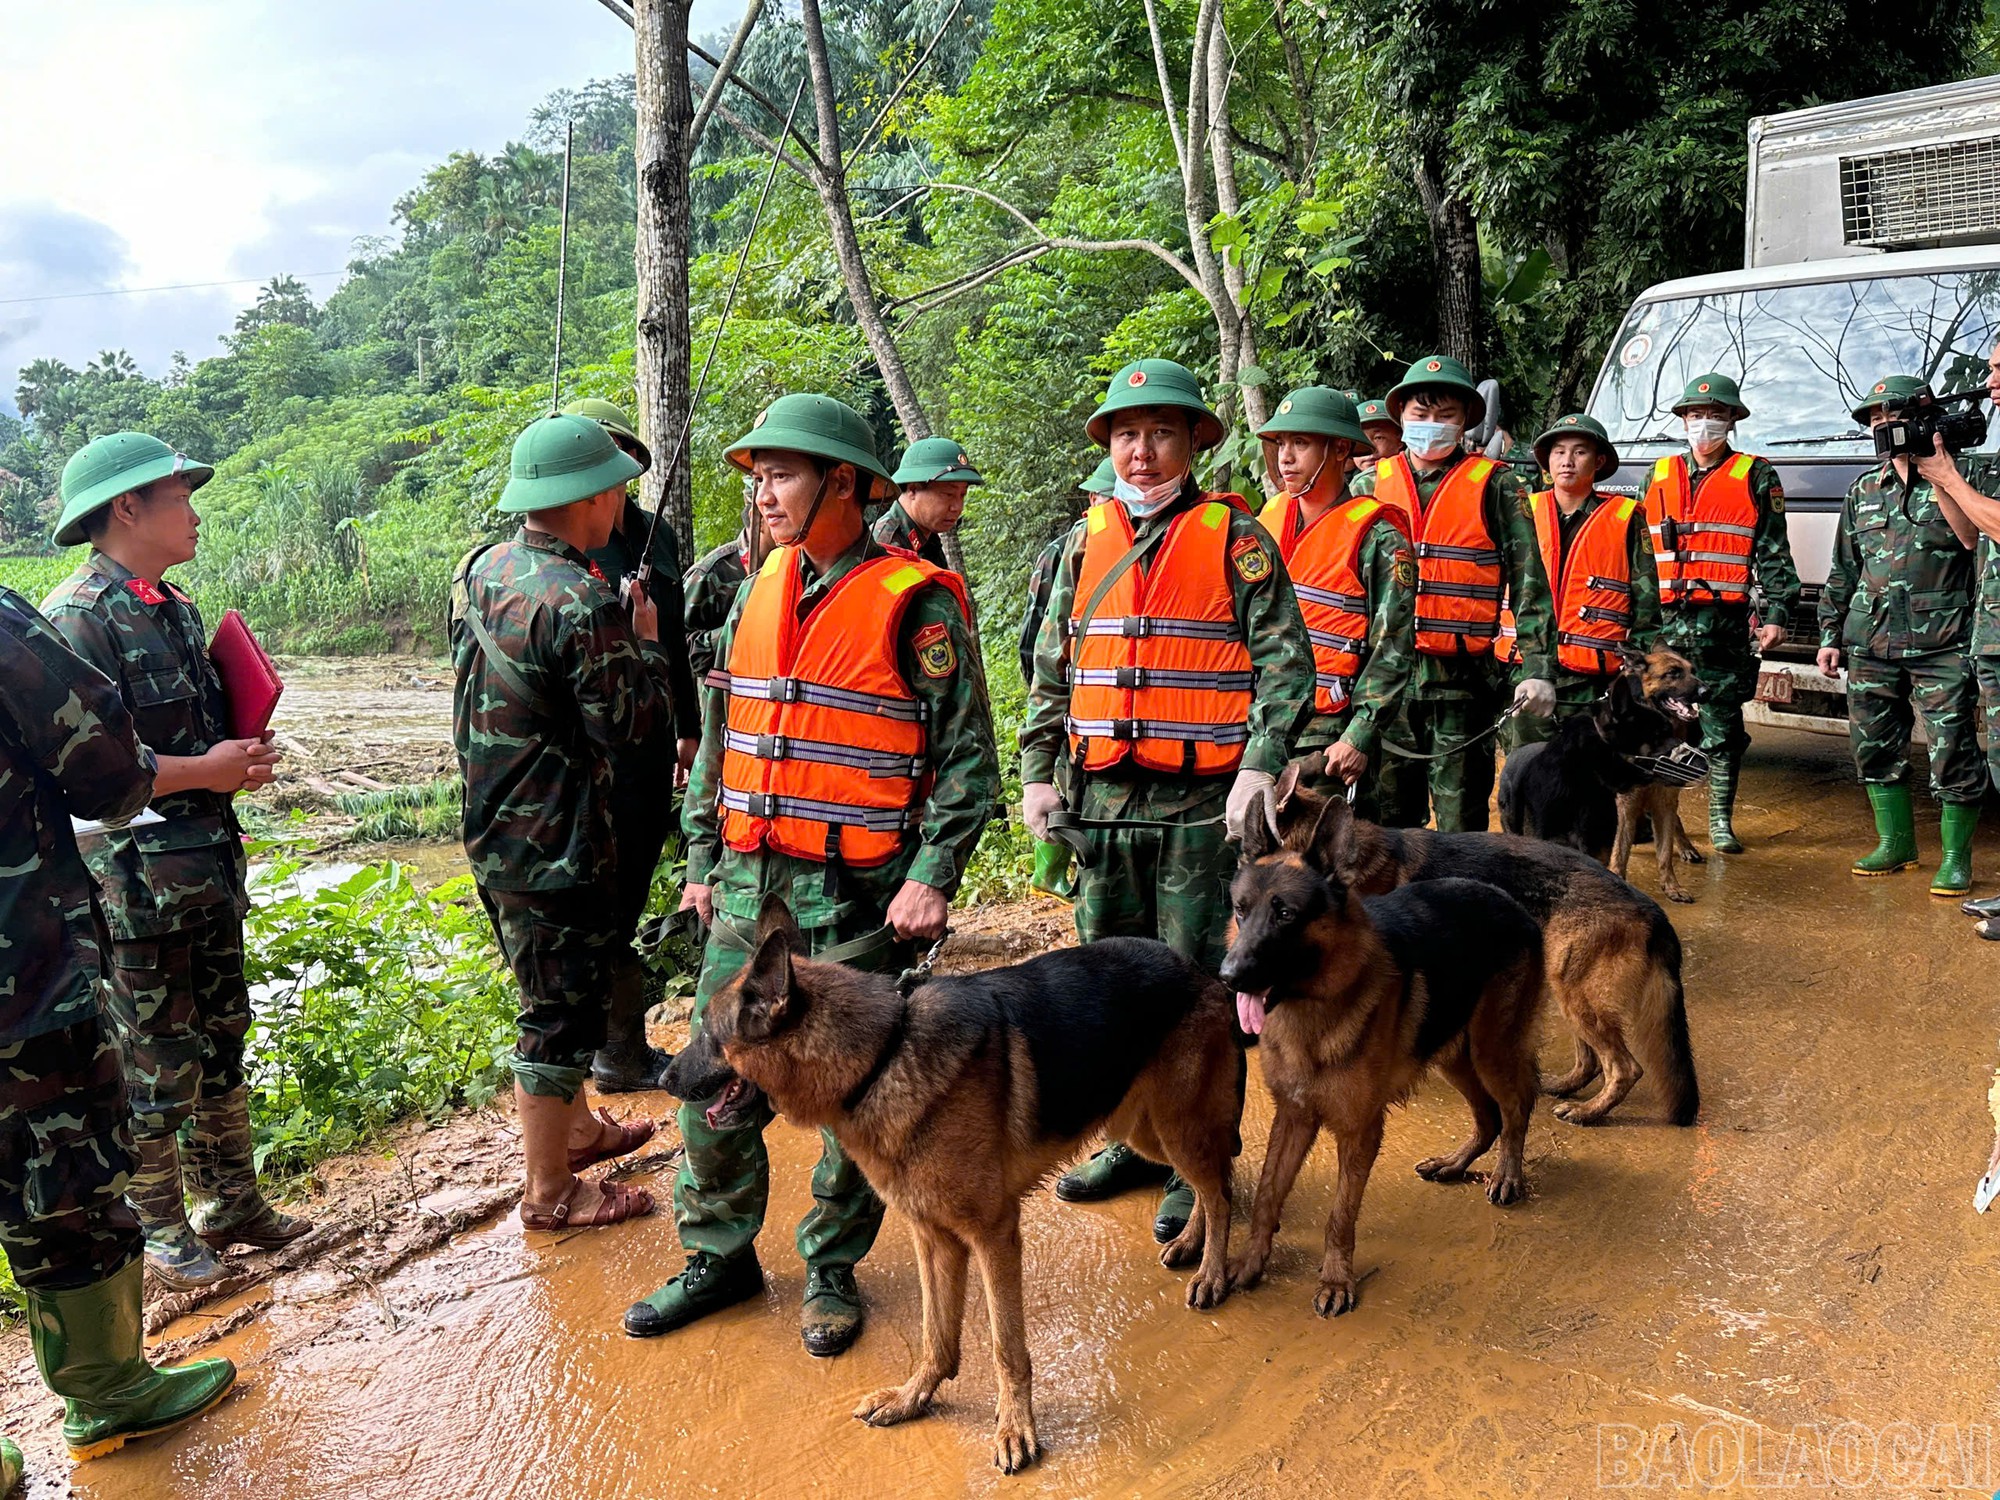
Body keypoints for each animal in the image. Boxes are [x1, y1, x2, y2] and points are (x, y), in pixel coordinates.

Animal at [664, 904, 1240, 1480]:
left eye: (707, 1035)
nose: (664, 1076)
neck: (882, 1057)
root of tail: (1190, 965)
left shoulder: (993, 1236)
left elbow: (1006, 1347)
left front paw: (1015, 1428)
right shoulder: (934, 1236)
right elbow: (936, 1336)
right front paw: (912, 1399)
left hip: (1174, 1127)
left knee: (1220, 1190)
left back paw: (1213, 1271)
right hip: (1143, 1130)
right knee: (1214, 1179)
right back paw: (1191, 1241)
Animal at [1224, 812, 1536, 1312]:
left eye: (1285, 914)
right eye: (1241, 909)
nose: (1228, 977)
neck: (1314, 1014)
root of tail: (1506, 900)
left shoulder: (1359, 1131)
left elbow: (1340, 1213)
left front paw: (1335, 1280)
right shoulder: (1293, 1116)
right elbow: (1269, 1194)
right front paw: (1251, 1261)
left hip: (1491, 1052)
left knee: (1517, 1107)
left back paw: (1508, 1174)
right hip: (1454, 1055)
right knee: (1488, 1116)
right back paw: (1454, 1163)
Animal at [1272, 764, 1696, 1128]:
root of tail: (1649, 906)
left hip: (1576, 991)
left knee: (1625, 1068)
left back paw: (1589, 1111)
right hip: (1568, 987)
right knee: (1593, 1060)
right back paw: (1567, 1088)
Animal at [1504, 648, 1704, 904]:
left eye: (1692, 670)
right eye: (1673, 673)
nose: (1706, 691)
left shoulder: (1663, 800)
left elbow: (1664, 850)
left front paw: (1672, 885)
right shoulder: (1625, 805)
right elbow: (1620, 851)